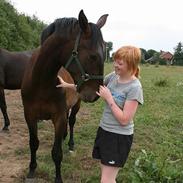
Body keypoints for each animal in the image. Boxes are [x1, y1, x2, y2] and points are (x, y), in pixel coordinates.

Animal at [20, 10, 108, 183]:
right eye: (93, 56)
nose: (95, 94)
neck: (41, 82)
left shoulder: (58, 117)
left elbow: (56, 153)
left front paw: (58, 178)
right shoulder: (30, 115)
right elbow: (33, 143)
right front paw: (32, 170)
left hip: (77, 104)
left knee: (71, 121)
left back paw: (70, 142)